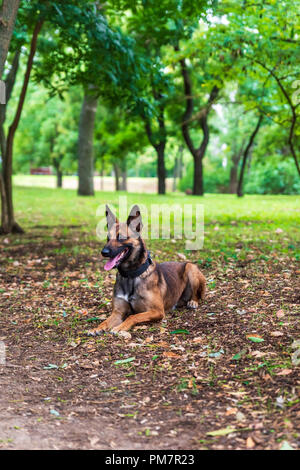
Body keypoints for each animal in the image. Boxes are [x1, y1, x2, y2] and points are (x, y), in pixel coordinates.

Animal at [86, 205, 206, 334]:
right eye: (108, 238)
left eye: (121, 238)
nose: (104, 252)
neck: (131, 275)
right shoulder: (118, 312)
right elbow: (106, 321)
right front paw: (97, 328)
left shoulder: (157, 311)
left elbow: (133, 316)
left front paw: (120, 327)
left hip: (190, 267)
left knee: (196, 294)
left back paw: (193, 302)